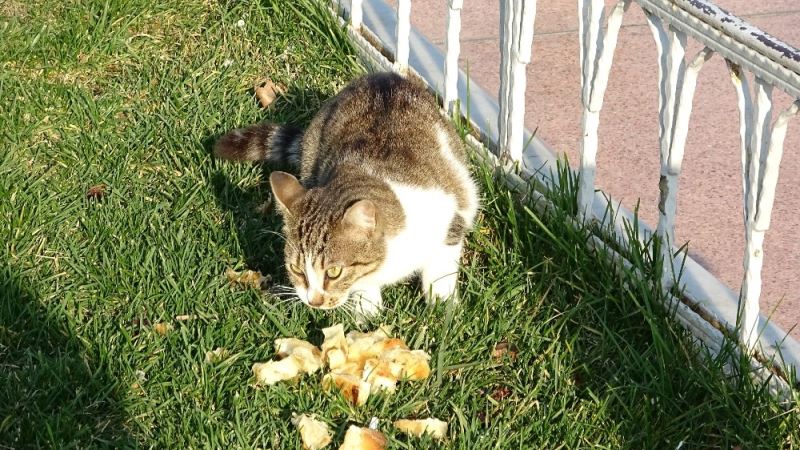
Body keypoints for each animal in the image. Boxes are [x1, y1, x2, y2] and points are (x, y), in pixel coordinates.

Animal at [212, 72, 478, 318]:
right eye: (297, 270)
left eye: (334, 272)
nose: (314, 301)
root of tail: (381, 76)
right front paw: (366, 307)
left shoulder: (451, 212)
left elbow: (442, 263)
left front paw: (442, 303)